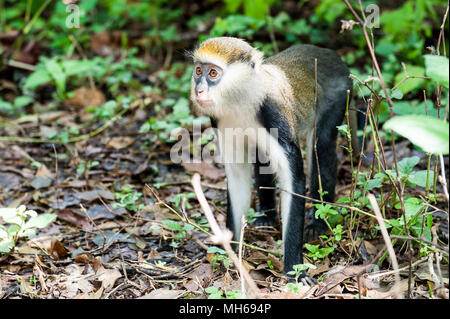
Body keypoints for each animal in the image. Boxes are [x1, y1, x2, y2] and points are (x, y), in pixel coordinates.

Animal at [189, 37, 352, 278]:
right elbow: (237, 178)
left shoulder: (273, 114)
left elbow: (294, 179)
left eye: (212, 73)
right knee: (262, 158)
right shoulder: (220, 120)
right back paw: (267, 215)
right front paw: (231, 254)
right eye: (198, 71)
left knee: (321, 146)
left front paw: (294, 270)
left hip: (340, 93)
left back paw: (318, 224)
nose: (199, 90)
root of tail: (327, 52)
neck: (243, 99)